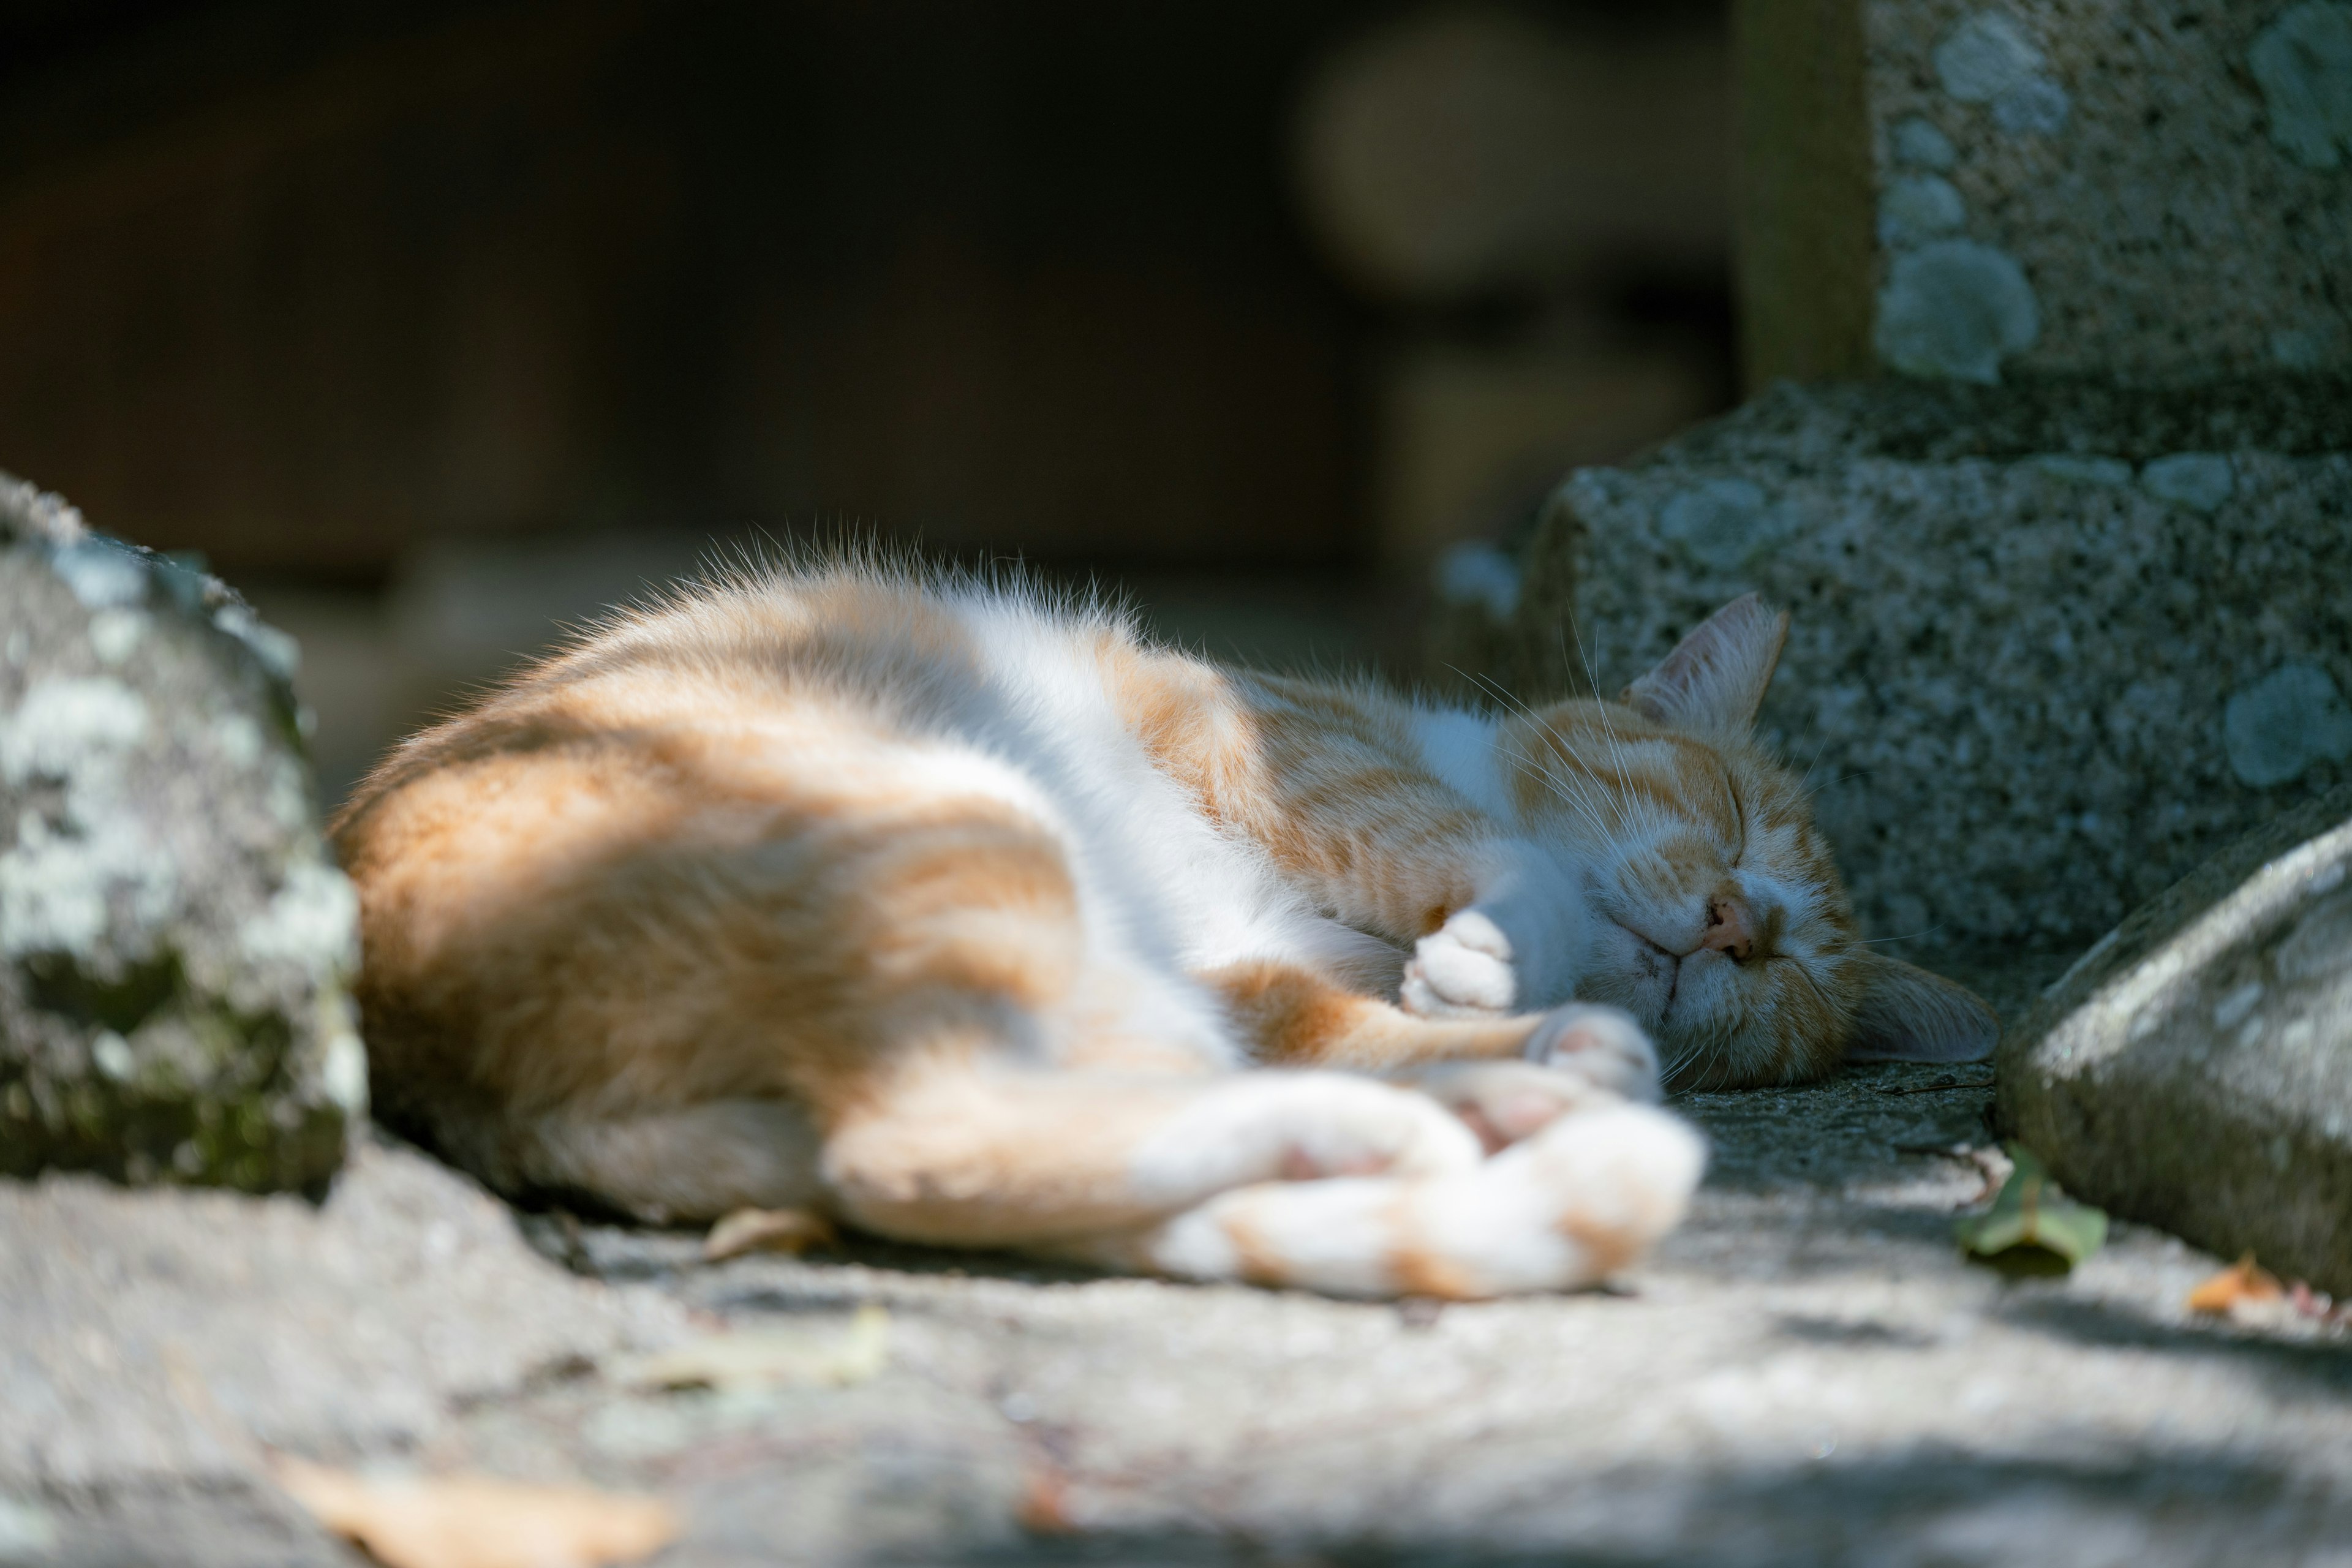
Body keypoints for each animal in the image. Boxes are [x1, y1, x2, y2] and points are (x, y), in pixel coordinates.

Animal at [326, 562, 1985, 1297]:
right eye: (1731, 812)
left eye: (1795, 969)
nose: (1735, 919)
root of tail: (464, 1069)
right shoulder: (1283, 748)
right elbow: (1498, 855)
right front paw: (1506, 961)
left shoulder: (1239, 966)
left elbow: (1358, 1010)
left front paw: (1512, 1015)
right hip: (969, 826)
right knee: (929, 1141)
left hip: (1060, 950)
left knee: (984, 1145)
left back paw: (1470, 1111)